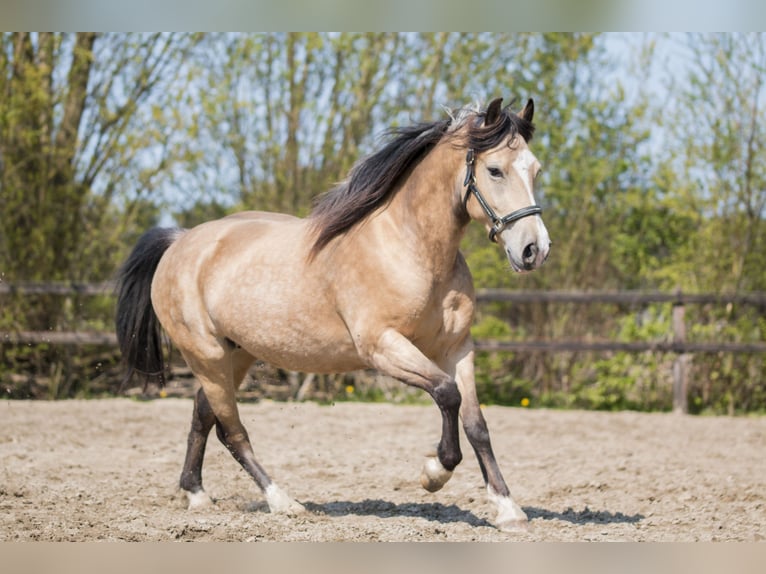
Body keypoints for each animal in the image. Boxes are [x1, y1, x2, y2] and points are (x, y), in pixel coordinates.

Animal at [117, 97, 552, 532]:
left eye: (535, 170)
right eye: (494, 170)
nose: (534, 250)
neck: (411, 247)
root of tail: (181, 242)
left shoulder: (457, 348)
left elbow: (476, 423)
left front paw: (508, 508)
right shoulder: (381, 346)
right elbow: (447, 394)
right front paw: (434, 473)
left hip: (235, 355)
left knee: (203, 414)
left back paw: (196, 494)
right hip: (206, 356)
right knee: (232, 431)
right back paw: (283, 502)